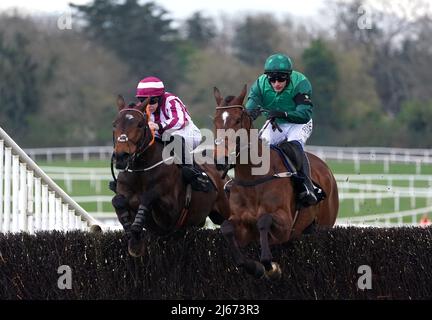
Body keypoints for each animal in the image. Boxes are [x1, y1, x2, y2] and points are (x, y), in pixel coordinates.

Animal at [113, 95, 231, 258]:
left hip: (226, 211)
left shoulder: (170, 213)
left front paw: (136, 229)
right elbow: (117, 201)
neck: (141, 171)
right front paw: (132, 235)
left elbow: (148, 196)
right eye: (114, 124)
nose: (121, 157)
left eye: (140, 124)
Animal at [212, 86, 338, 278]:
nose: (221, 159)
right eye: (215, 121)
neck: (253, 179)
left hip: (324, 225)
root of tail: (326, 169)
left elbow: (264, 220)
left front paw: (269, 265)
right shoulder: (242, 226)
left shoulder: (285, 226)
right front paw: (254, 266)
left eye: (237, 120)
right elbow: (227, 228)